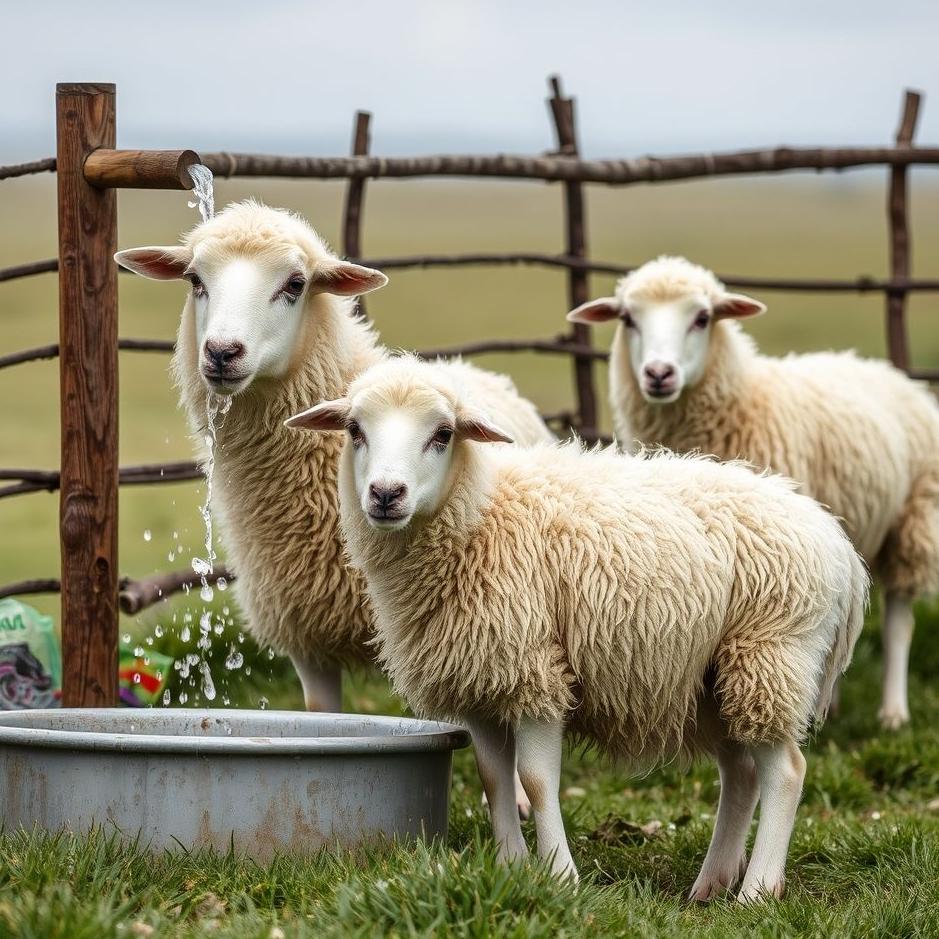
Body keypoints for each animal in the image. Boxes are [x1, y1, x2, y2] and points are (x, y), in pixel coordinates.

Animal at [286, 355, 868, 903]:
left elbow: (536, 780)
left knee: (786, 772)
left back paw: (757, 889)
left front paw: (561, 877)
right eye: (355, 430)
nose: (386, 494)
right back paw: (711, 883)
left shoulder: (534, 669)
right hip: (713, 677)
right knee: (742, 774)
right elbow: (494, 778)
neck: (480, 513)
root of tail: (838, 543)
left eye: (443, 433)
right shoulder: (480, 676)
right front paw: (511, 868)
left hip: (770, 655)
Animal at [568, 255, 939, 730]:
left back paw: (893, 711)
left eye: (702, 318)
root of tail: (880, 366)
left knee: (898, 619)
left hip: (912, 517)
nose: (658, 374)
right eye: (628, 319)